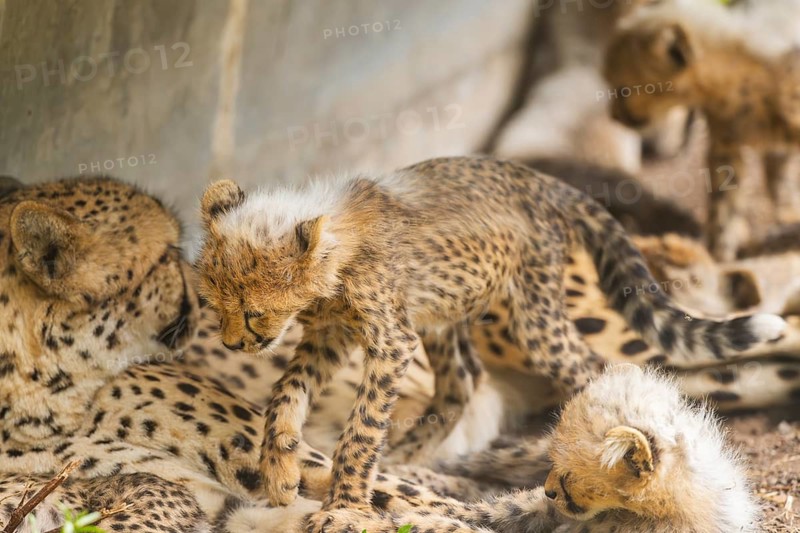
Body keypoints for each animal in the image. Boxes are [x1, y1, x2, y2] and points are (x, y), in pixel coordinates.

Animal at [195, 155, 785, 523]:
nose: (232, 344)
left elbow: (360, 429)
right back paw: (410, 456)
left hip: (533, 317)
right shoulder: (331, 334)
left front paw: (346, 501)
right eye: (214, 302)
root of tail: (537, 177)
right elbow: (284, 395)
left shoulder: (389, 338)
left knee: (590, 369)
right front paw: (279, 471)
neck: (334, 242)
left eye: (251, 312)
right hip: (446, 311)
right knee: (462, 381)